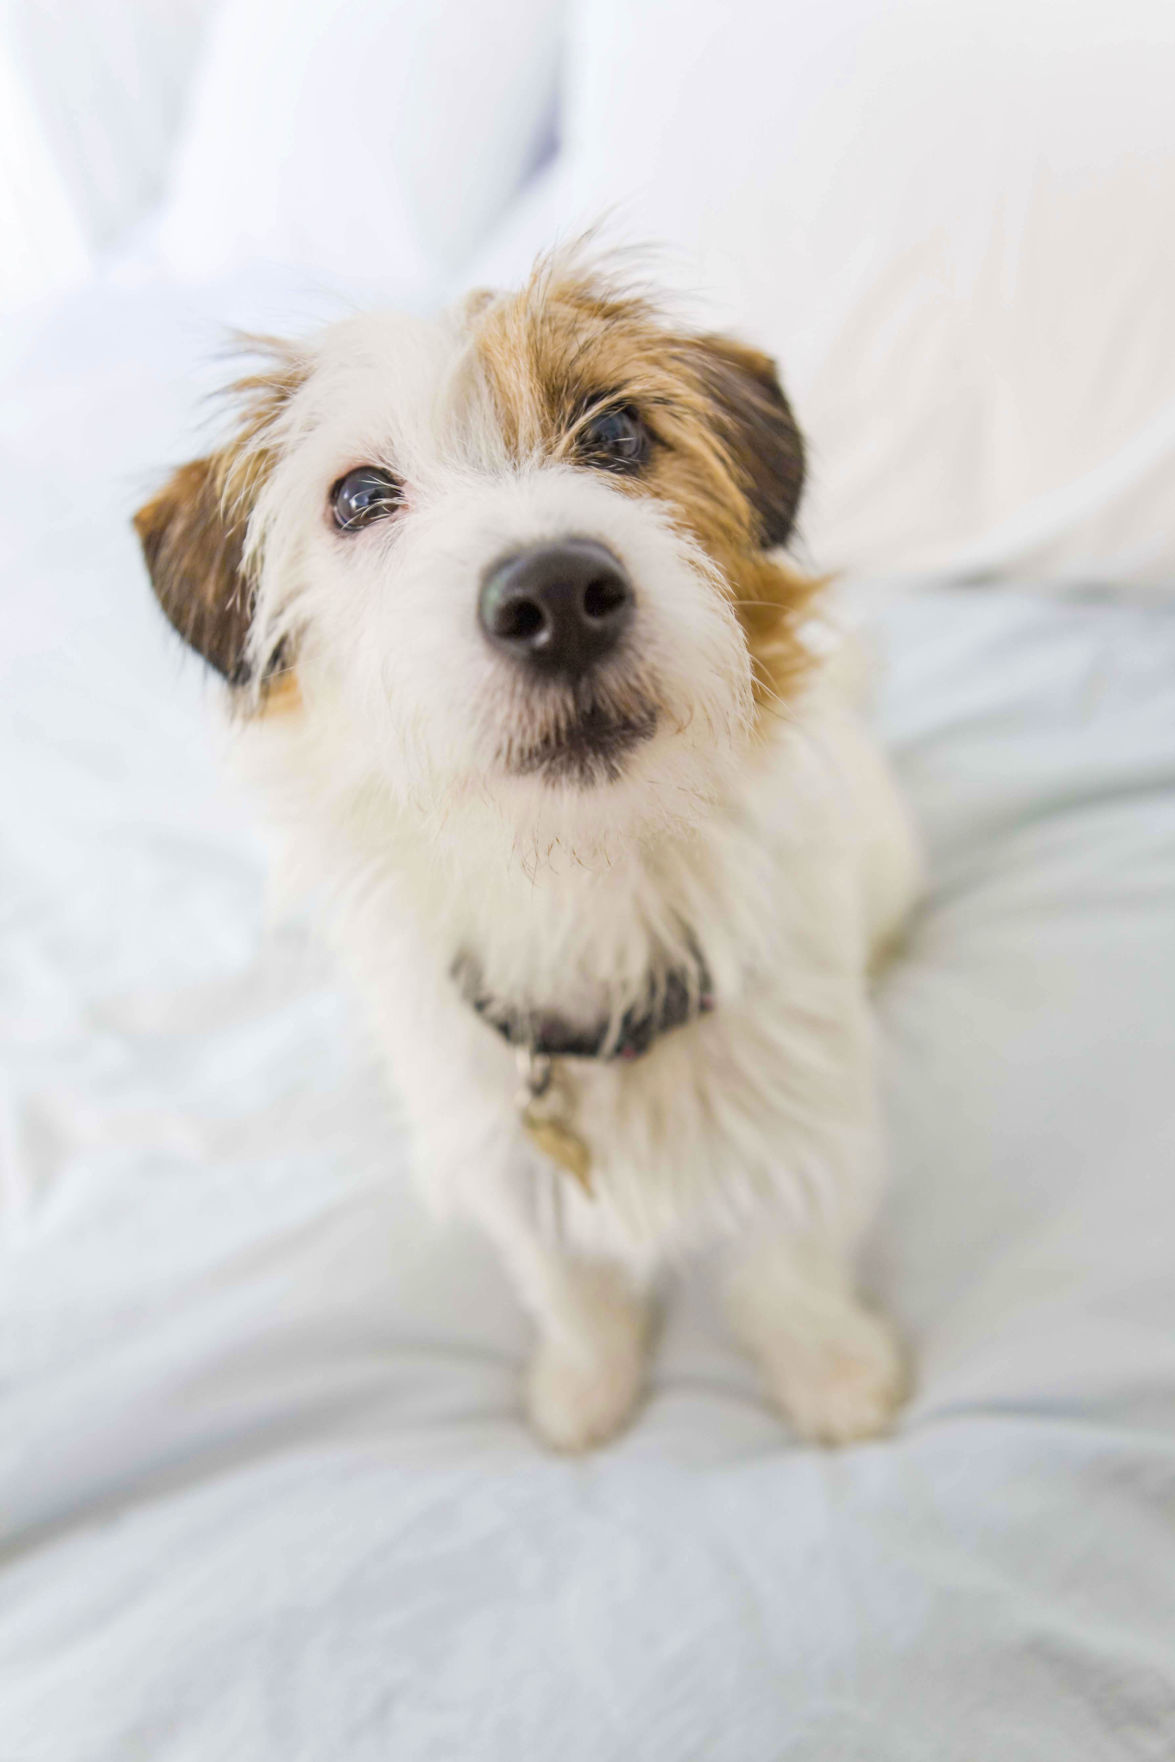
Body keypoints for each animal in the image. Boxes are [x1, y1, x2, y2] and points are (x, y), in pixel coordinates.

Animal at [131, 255, 916, 1451]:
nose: (554, 595)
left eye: (620, 430)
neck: (582, 891)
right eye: (357, 496)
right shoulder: (499, 1165)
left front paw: (830, 1376)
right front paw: (584, 1390)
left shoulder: (807, 1121)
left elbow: (787, 1265)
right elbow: (567, 1286)